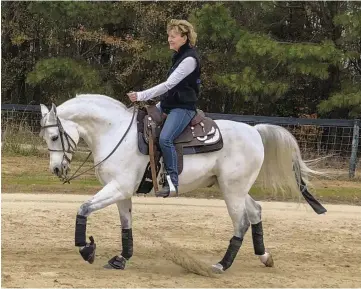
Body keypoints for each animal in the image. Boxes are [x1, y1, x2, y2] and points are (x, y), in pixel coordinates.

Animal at [38, 93, 320, 272]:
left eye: (54, 137)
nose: (56, 169)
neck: (114, 132)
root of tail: (254, 131)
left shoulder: (118, 188)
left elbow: (83, 208)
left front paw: (86, 249)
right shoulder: (122, 192)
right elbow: (126, 226)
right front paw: (121, 259)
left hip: (233, 190)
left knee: (241, 222)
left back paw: (222, 265)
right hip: (234, 188)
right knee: (256, 212)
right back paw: (264, 256)